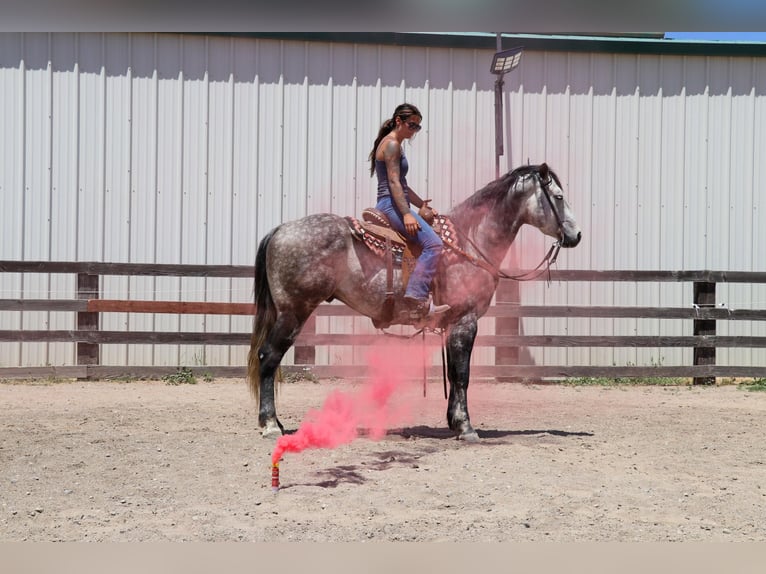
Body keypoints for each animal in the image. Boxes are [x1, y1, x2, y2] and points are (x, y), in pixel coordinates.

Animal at [247, 163, 581, 441]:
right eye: (559, 196)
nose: (576, 234)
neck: (471, 241)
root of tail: (281, 230)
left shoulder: (453, 324)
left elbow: (453, 373)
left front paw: (454, 422)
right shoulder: (466, 320)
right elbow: (463, 374)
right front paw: (467, 428)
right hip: (293, 313)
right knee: (268, 357)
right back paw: (270, 425)